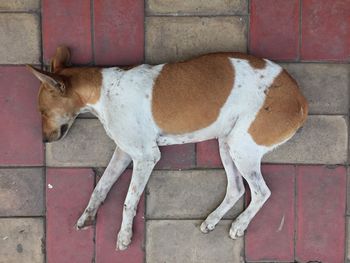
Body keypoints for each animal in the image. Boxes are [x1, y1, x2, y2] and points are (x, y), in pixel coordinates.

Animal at [27, 46, 308, 251]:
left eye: (43, 112)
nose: (43, 141)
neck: (104, 91)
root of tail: (300, 97)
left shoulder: (146, 157)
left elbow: (129, 200)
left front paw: (124, 235)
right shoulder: (124, 153)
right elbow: (100, 187)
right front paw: (89, 215)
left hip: (241, 146)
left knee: (261, 192)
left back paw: (240, 224)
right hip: (226, 143)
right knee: (237, 189)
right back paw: (213, 220)